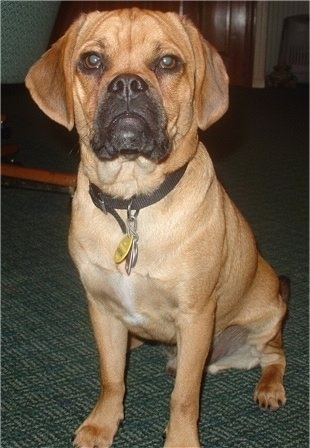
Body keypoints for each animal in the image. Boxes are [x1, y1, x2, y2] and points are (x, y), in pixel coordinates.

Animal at [26, 7, 288, 448]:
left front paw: (180, 439)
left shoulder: (196, 315)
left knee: (276, 355)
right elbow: (111, 379)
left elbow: (183, 397)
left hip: (264, 320)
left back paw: (270, 388)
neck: (134, 201)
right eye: (91, 60)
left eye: (168, 62)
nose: (128, 85)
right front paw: (101, 425)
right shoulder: (102, 309)